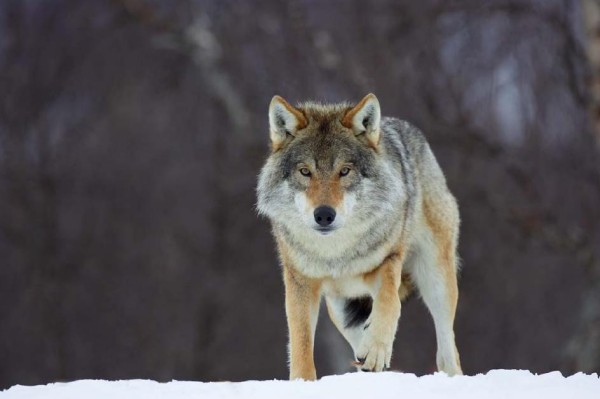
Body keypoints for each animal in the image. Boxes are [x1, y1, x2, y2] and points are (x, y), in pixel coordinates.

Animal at [255, 93, 462, 382]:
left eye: (344, 171)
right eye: (305, 172)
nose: (324, 215)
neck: (337, 252)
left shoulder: (387, 261)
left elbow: (389, 302)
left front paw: (376, 348)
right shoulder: (300, 281)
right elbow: (301, 342)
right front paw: (302, 382)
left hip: (436, 280)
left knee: (448, 353)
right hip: (342, 311)